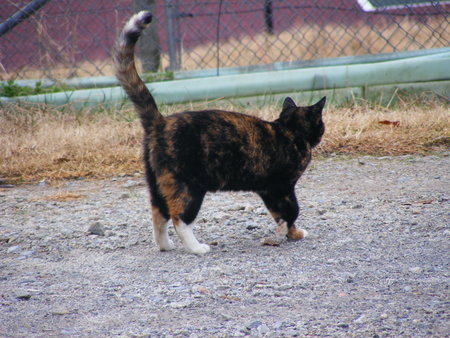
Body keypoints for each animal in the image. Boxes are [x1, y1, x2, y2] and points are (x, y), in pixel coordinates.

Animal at [112, 11, 324, 255]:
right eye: (321, 124)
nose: (321, 134)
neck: (289, 129)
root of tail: (161, 122)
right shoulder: (283, 187)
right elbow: (292, 211)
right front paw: (294, 233)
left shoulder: (267, 190)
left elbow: (280, 214)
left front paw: (288, 233)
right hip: (189, 188)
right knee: (178, 218)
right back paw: (197, 247)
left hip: (157, 184)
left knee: (158, 214)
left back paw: (164, 245)